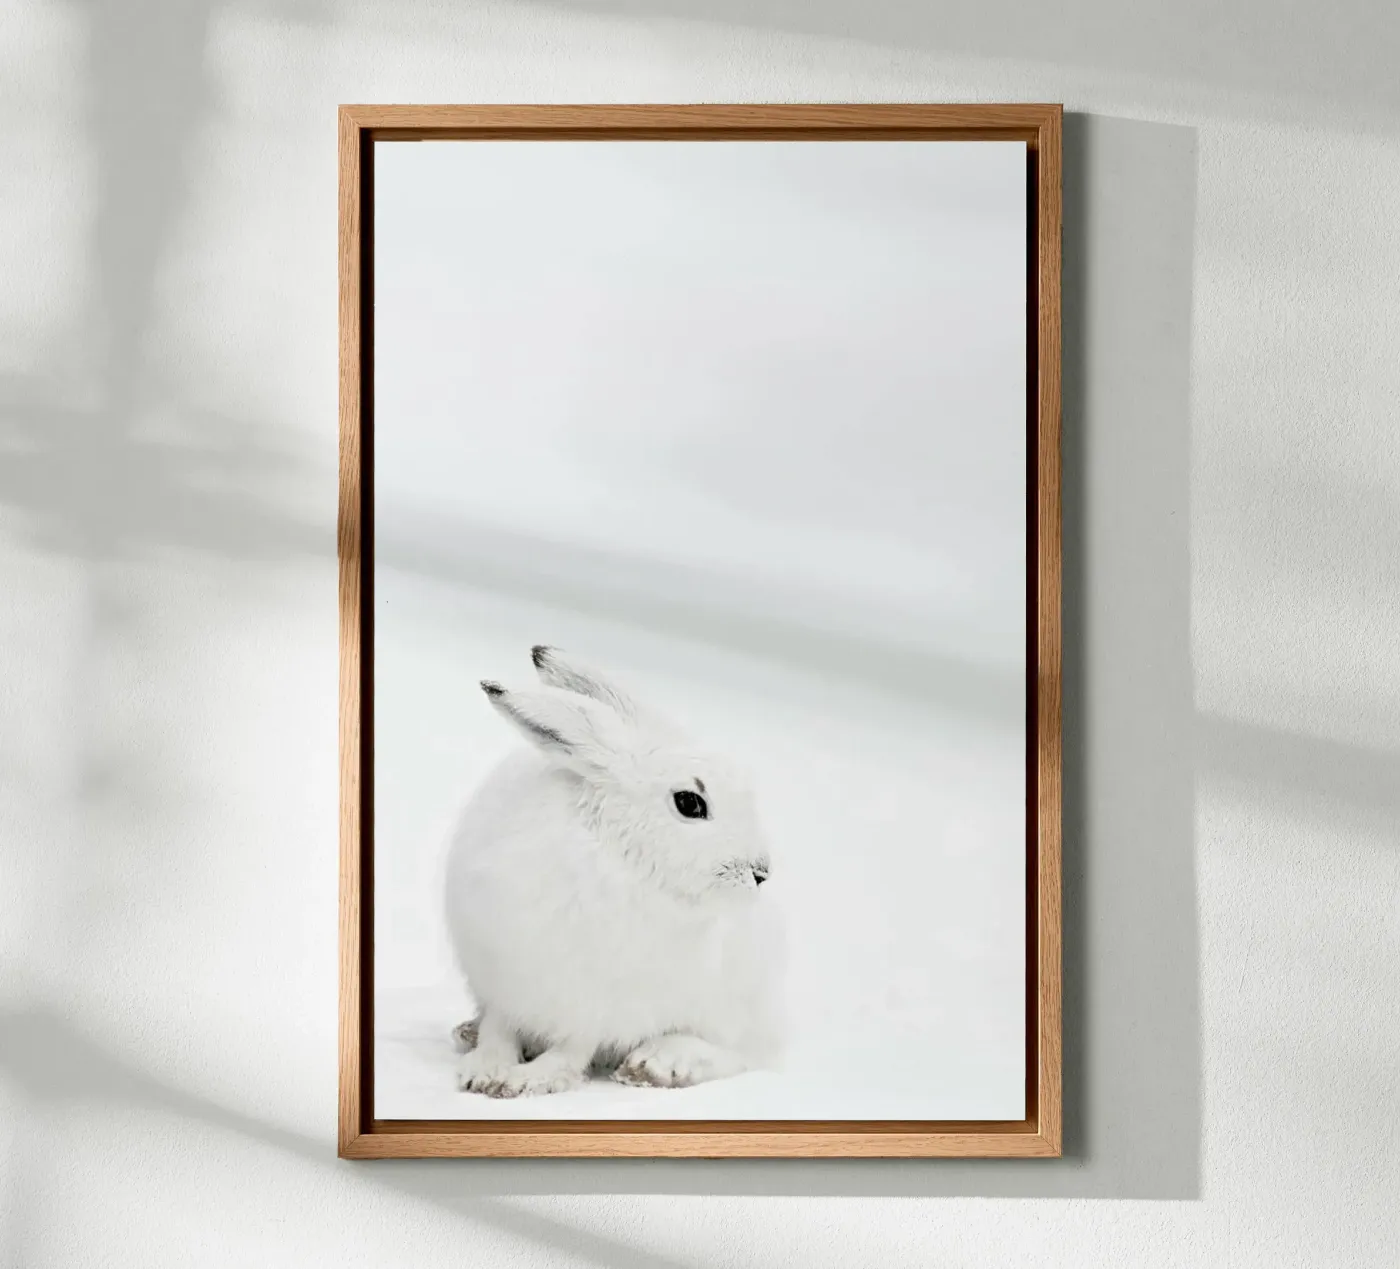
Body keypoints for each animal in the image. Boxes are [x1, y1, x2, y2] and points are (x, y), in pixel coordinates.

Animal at [446, 645, 783, 1098]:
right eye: (690, 803)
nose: (760, 871)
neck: (615, 856)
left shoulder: (600, 1005)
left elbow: (573, 1049)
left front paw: (527, 1080)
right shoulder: (504, 980)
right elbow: (500, 1029)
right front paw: (484, 1070)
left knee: (738, 1053)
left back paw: (657, 1065)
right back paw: (468, 1031)